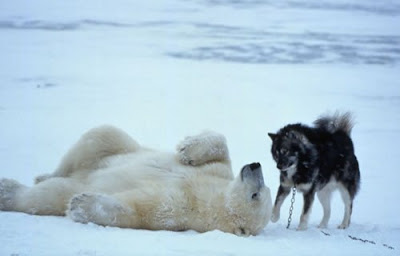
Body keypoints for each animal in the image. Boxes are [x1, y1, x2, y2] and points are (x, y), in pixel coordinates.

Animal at [0, 126, 272, 236]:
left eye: (256, 194)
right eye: (263, 189)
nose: (256, 166)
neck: (211, 196)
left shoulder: (182, 208)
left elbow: (140, 208)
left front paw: (81, 204)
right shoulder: (219, 173)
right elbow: (220, 147)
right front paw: (187, 148)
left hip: (75, 182)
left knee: (50, 195)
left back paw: (8, 191)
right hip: (110, 148)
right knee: (101, 136)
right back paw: (43, 174)